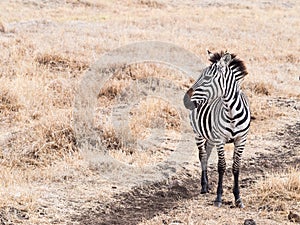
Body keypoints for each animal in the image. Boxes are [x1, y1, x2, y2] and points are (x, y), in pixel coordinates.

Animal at [183, 50, 251, 208]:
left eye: (207, 77)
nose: (186, 101)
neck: (232, 113)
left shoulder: (241, 140)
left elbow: (236, 167)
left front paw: (238, 198)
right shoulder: (220, 140)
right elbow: (221, 166)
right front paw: (219, 197)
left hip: (211, 136)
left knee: (206, 154)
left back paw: (207, 185)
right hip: (198, 133)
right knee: (202, 156)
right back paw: (204, 186)